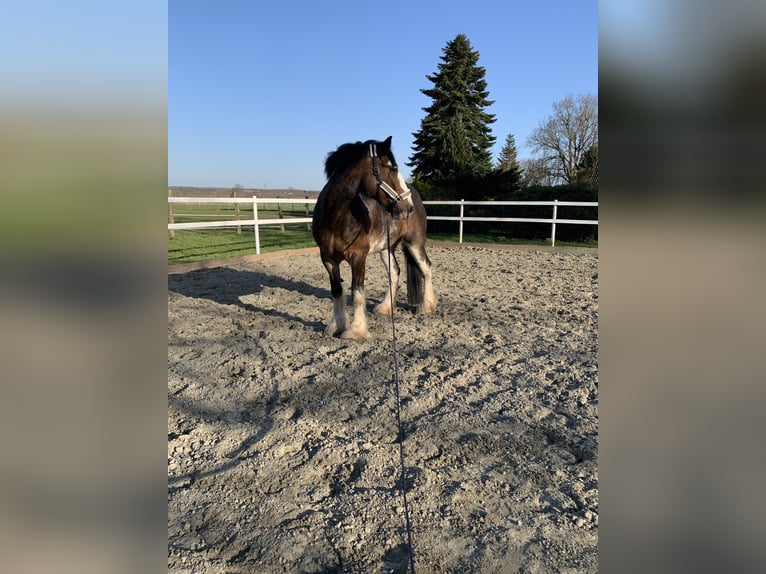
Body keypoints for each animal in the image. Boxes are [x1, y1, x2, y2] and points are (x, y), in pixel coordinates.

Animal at [312, 136, 437, 341]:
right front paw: (336, 326)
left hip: (415, 243)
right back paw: (386, 308)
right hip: (386, 248)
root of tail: (417, 197)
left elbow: (357, 293)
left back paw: (427, 306)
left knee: (425, 268)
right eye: (392, 168)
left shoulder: (358, 257)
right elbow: (337, 291)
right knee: (395, 271)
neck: (335, 217)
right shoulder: (328, 259)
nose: (407, 206)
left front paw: (356, 331)